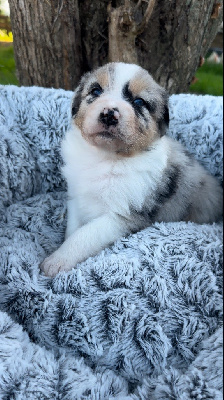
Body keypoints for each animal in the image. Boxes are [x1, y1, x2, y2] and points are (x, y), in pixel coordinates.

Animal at [39, 62, 222, 276]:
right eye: (96, 91)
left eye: (139, 101)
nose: (109, 114)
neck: (106, 157)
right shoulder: (77, 198)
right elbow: (73, 229)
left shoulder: (122, 215)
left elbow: (84, 235)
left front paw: (57, 261)